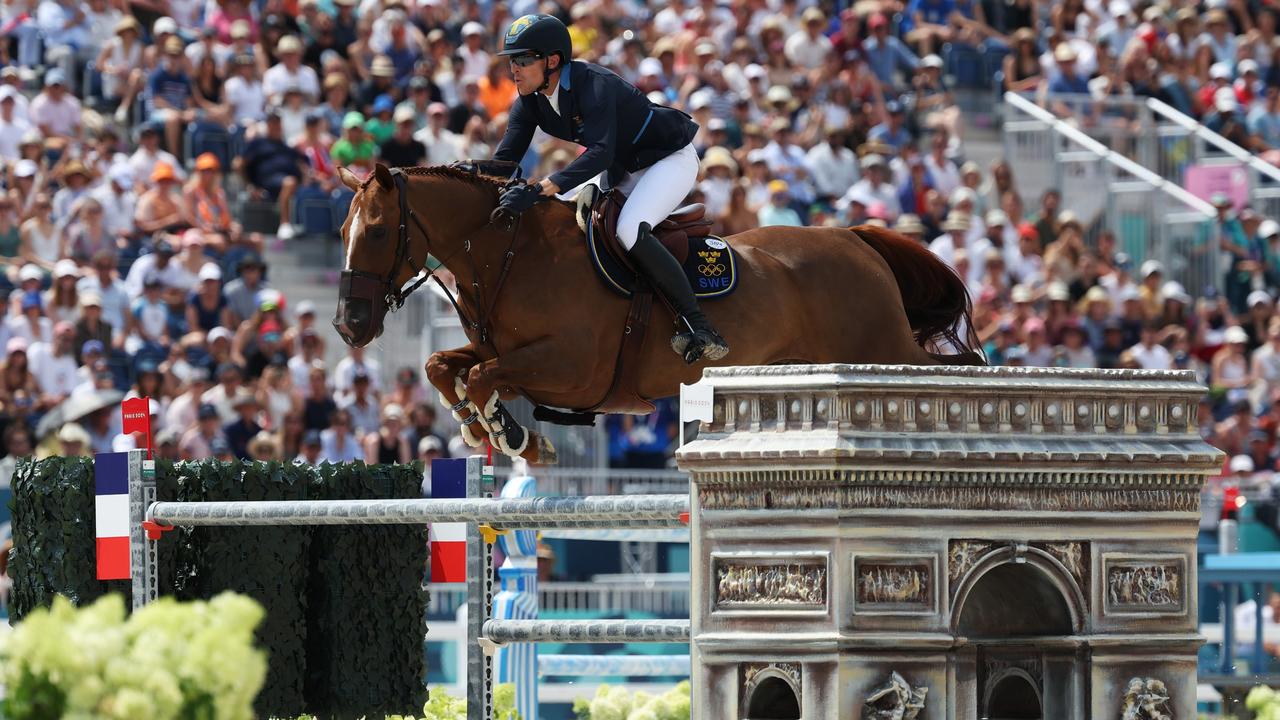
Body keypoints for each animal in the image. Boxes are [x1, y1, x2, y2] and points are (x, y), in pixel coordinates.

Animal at [332, 162, 977, 461]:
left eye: (379, 231)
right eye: (341, 231)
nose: (349, 325)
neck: (510, 251)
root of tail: (854, 237)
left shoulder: (572, 369)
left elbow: (487, 376)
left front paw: (518, 438)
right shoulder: (505, 350)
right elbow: (444, 366)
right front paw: (477, 426)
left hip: (878, 348)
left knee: (948, 367)